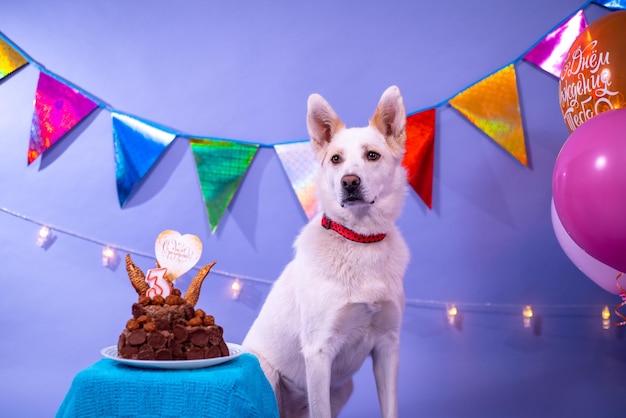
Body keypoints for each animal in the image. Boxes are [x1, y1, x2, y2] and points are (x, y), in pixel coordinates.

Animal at [241, 85, 408, 418]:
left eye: (372, 155)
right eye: (335, 159)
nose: (349, 182)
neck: (359, 240)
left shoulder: (388, 346)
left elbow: (391, 408)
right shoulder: (318, 352)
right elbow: (322, 411)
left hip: (343, 388)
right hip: (265, 370)